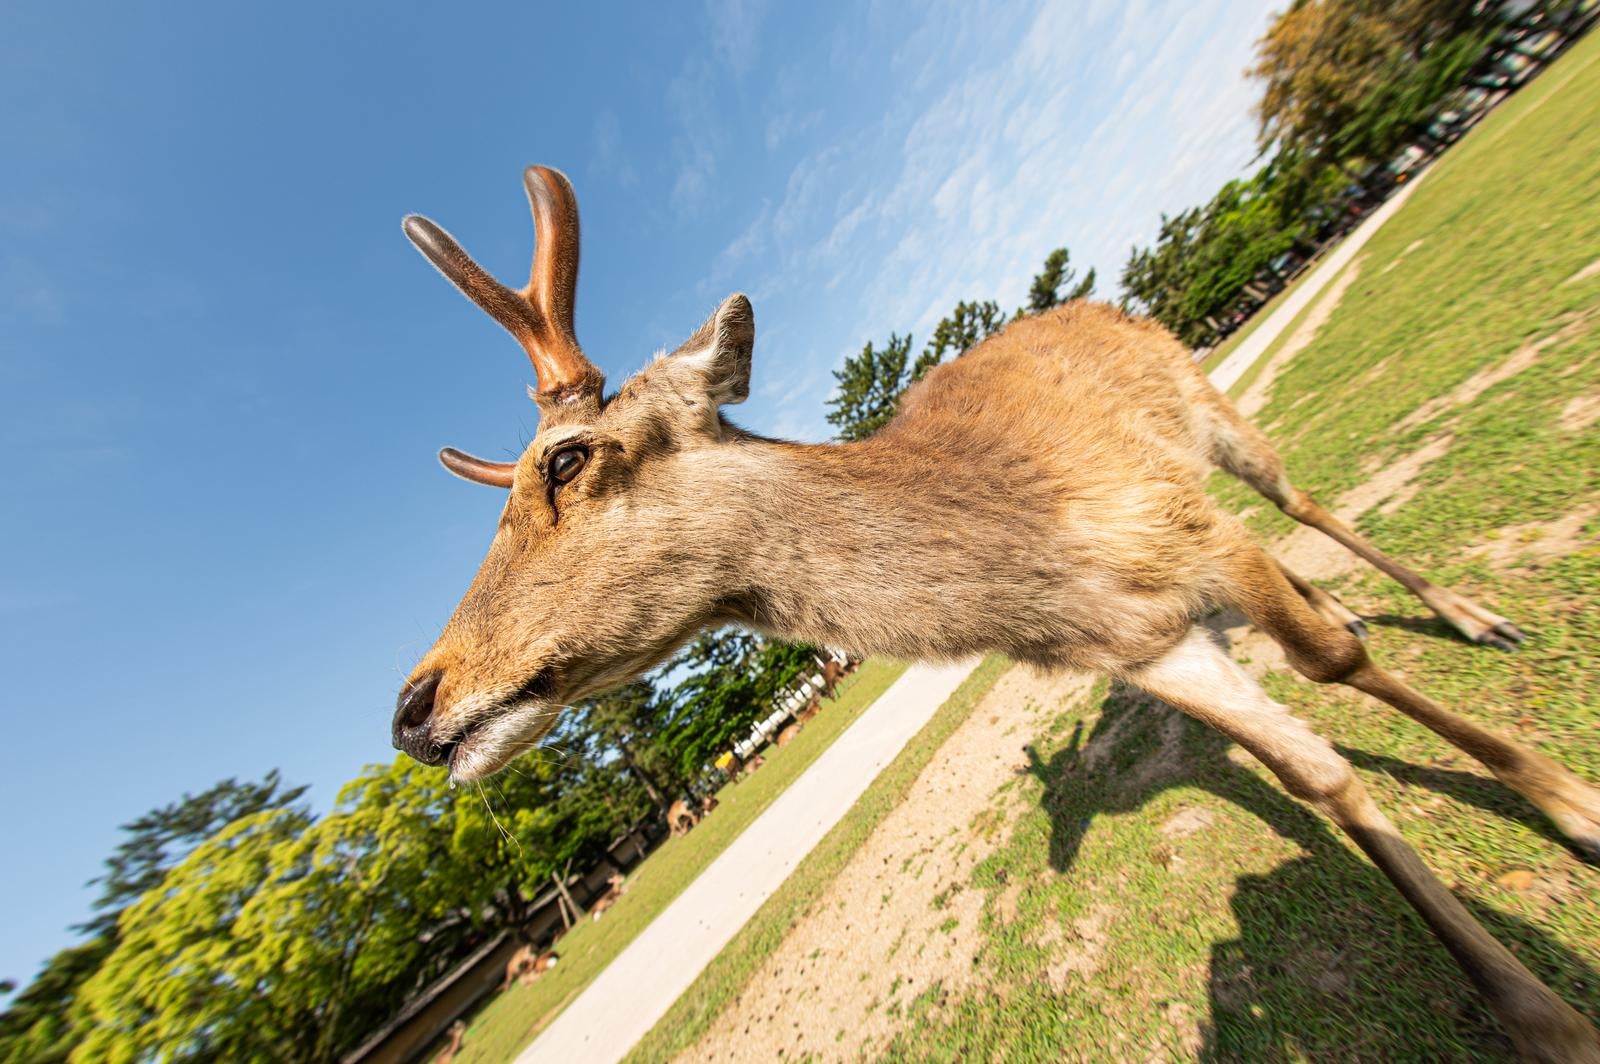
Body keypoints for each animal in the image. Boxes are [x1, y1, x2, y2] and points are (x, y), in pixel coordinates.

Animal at [389, 166, 1600, 1061]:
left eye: (566, 459)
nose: (412, 706)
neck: (1036, 566)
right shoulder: (1142, 644)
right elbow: (1312, 767)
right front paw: (1532, 1008)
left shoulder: (1185, 526)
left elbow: (1334, 664)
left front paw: (1564, 806)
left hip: (1208, 409)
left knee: (1302, 501)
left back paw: (1466, 613)